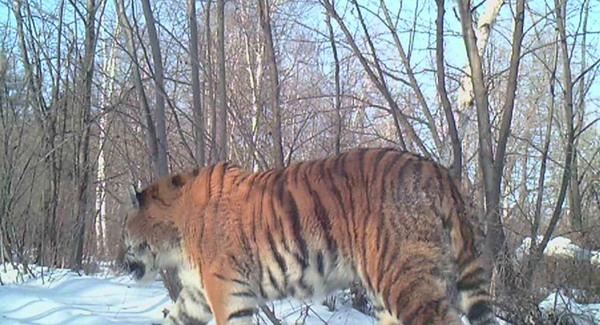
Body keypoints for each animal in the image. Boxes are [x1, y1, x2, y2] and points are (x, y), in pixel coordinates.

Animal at [122, 147, 496, 324]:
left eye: (124, 235)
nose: (120, 263)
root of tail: (436, 169)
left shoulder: (227, 291)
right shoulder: (197, 295)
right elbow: (176, 319)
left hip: (405, 279)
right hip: (388, 290)